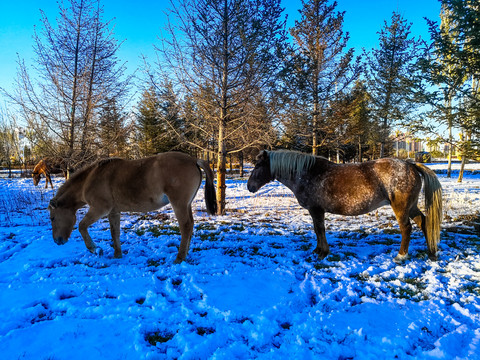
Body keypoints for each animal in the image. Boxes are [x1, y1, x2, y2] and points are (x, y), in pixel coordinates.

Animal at [47, 150, 217, 262]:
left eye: (53, 218)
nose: (57, 240)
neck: (90, 179)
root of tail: (193, 160)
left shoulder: (99, 209)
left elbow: (82, 226)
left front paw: (94, 249)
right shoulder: (113, 212)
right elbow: (114, 233)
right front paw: (117, 255)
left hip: (179, 204)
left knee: (186, 226)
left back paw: (179, 258)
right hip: (186, 205)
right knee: (191, 225)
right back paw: (185, 254)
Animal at [248, 149, 442, 262]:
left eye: (258, 165)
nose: (249, 186)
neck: (307, 173)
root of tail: (410, 164)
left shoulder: (316, 210)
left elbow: (320, 229)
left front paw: (322, 252)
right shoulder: (316, 211)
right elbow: (317, 230)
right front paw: (317, 250)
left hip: (401, 208)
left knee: (406, 228)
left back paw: (401, 256)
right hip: (411, 206)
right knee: (424, 223)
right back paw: (431, 253)